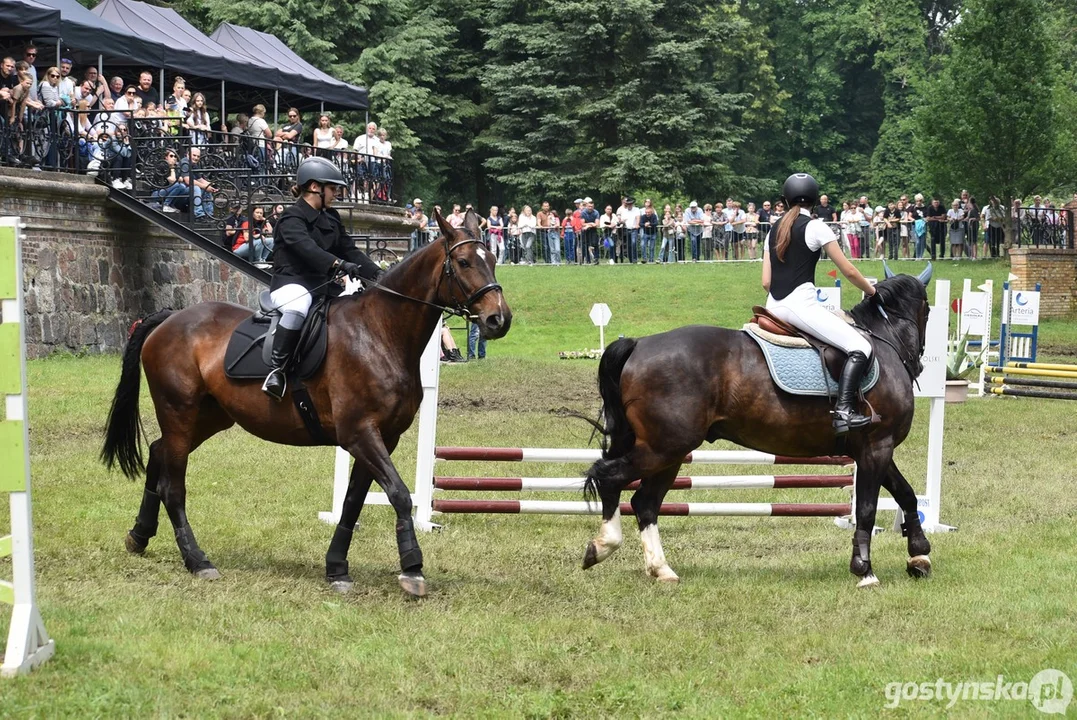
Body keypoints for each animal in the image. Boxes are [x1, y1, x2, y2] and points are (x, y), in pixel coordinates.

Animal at [101, 207, 508, 594]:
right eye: (464, 262)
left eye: (492, 259)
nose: (498, 319)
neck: (380, 332)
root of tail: (170, 318)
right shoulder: (361, 435)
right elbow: (399, 494)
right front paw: (412, 568)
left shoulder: (382, 438)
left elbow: (353, 502)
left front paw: (337, 568)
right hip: (179, 412)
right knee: (174, 486)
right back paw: (197, 560)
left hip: (209, 417)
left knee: (158, 452)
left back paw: (139, 536)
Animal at [581, 266, 934, 585]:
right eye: (928, 310)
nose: (918, 365)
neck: (884, 344)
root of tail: (638, 344)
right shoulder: (877, 446)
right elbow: (868, 508)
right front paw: (865, 570)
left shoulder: (872, 448)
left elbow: (906, 495)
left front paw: (919, 555)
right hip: (665, 448)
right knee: (610, 477)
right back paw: (603, 547)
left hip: (669, 453)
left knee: (645, 502)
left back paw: (661, 569)